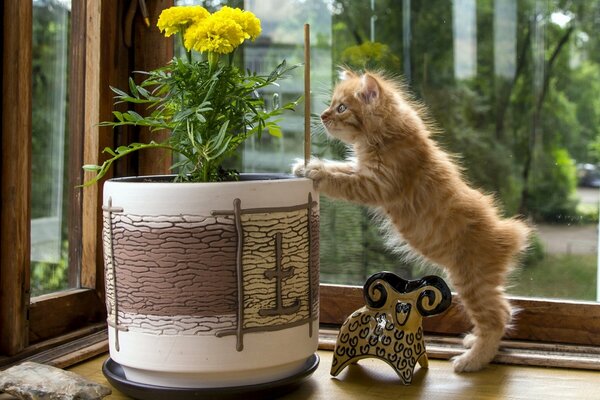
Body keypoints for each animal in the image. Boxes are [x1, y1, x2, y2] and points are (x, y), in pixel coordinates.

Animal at [296, 69, 528, 372]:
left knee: (497, 317)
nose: (323, 116)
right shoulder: (360, 171)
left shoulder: (374, 185)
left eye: (342, 108)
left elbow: (338, 180)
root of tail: (506, 235)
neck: (386, 137)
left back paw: (473, 359)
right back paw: (472, 342)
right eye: (333, 104)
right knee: (505, 310)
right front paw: (309, 164)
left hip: (472, 281)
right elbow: (340, 168)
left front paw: (315, 171)